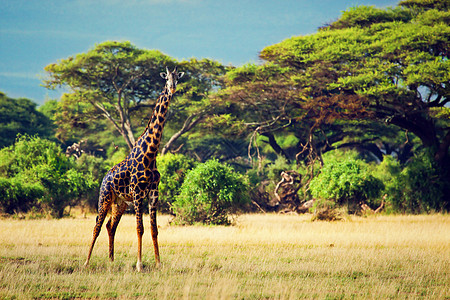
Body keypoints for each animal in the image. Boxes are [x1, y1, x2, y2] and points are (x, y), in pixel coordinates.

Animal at [83, 66, 184, 272]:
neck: (151, 153)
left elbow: (154, 230)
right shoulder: (138, 193)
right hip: (105, 197)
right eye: (166, 78)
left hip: (120, 203)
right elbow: (140, 228)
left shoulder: (153, 193)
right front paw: (139, 264)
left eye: (177, 78)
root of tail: (105, 177)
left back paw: (111, 261)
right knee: (97, 226)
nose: (172, 88)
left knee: (110, 226)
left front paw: (158, 263)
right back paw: (87, 262)